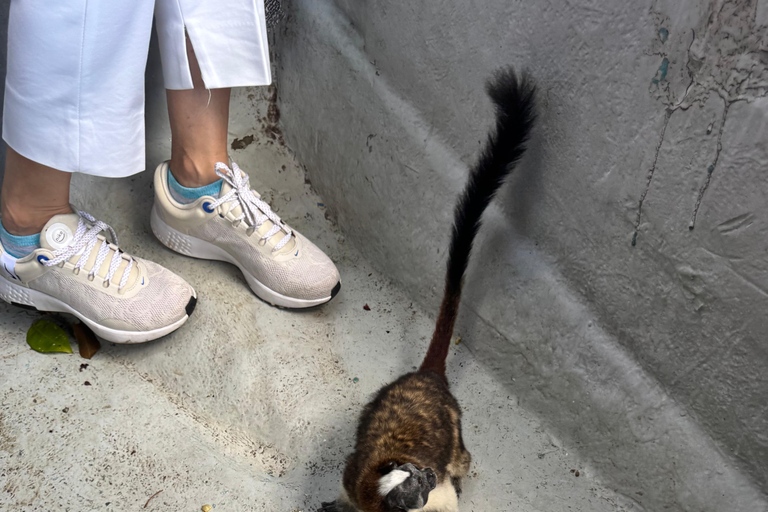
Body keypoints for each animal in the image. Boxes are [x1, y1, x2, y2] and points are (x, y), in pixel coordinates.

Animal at [320, 67, 536, 512]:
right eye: (414, 484)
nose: (429, 475)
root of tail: (427, 379)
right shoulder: (356, 478)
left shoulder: (430, 496)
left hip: (454, 427)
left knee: (462, 460)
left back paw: (460, 471)